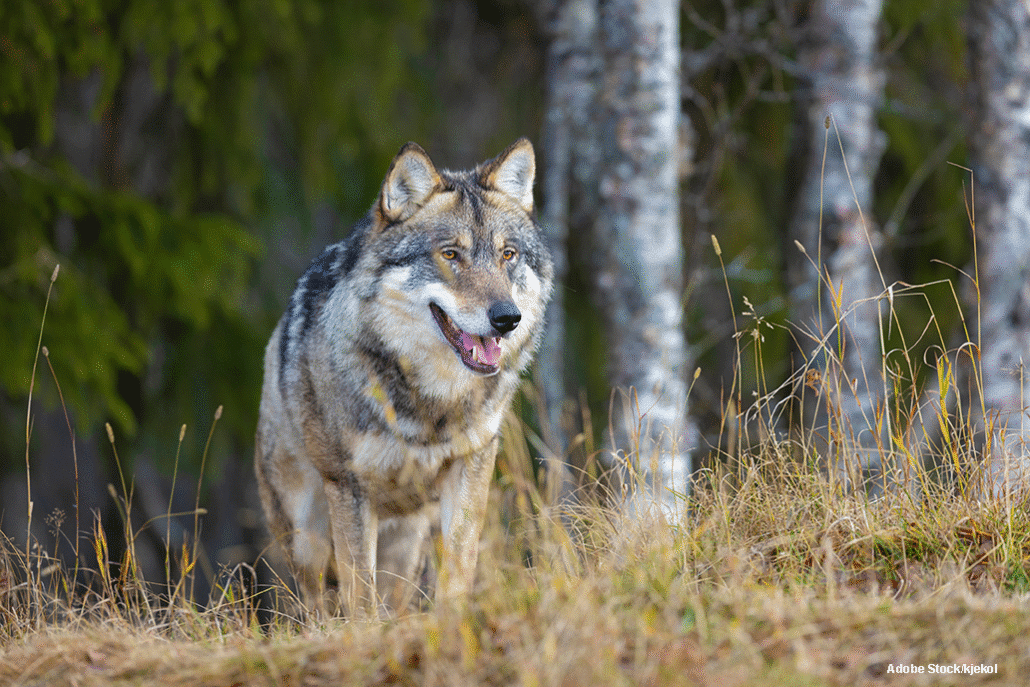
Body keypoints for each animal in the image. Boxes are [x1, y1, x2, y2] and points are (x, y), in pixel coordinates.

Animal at [255, 139, 553, 616]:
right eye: (451, 254)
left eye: (507, 255)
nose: (507, 318)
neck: (432, 402)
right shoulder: (349, 487)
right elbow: (359, 593)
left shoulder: (471, 467)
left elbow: (459, 566)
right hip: (306, 535)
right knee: (315, 601)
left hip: (406, 543)